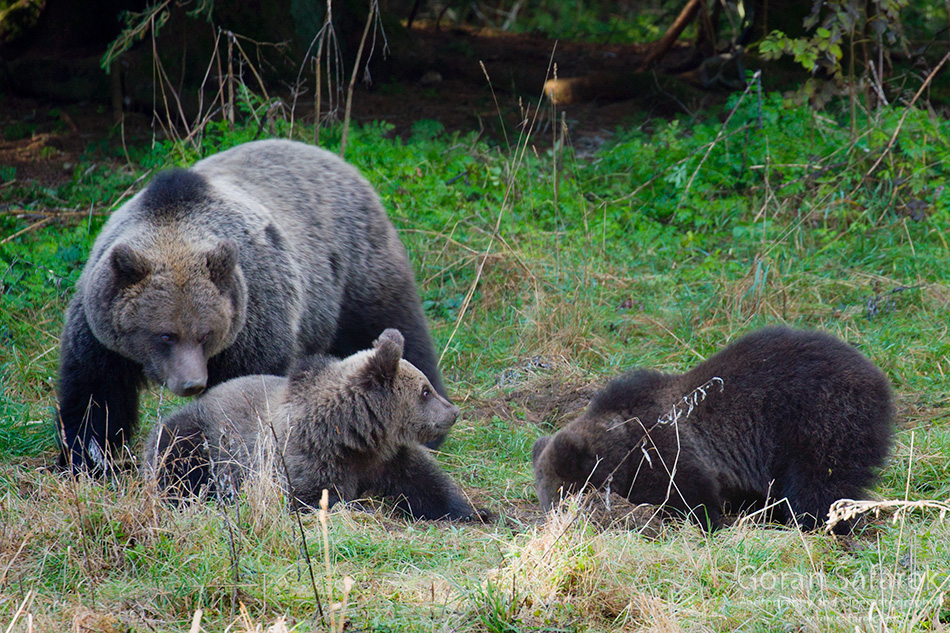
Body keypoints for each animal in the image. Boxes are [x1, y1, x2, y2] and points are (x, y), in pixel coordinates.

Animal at [56, 139, 450, 474]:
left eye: (205, 333)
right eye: (165, 334)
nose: (191, 383)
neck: (173, 224)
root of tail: (331, 155)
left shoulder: (253, 320)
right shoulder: (101, 335)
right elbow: (94, 397)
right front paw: (88, 460)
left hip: (356, 268)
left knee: (395, 324)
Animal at [145, 328, 488, 520]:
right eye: (425, 391)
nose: (453, 411)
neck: (357, 435)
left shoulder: (390, 457)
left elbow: (428, 486)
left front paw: (477, 512)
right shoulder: (304, 456)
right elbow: (315, 497)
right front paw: (362, 507)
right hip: (200, 433)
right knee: (173, 455)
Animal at [532, 328, 896, 532]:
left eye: (563, 498)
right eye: (548, 504)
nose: (560, 525)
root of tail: (878, 377)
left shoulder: (666, 454)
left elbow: (692, 499)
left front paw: (705, 524)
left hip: (819, 418)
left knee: (819, 483)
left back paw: (814, 525)